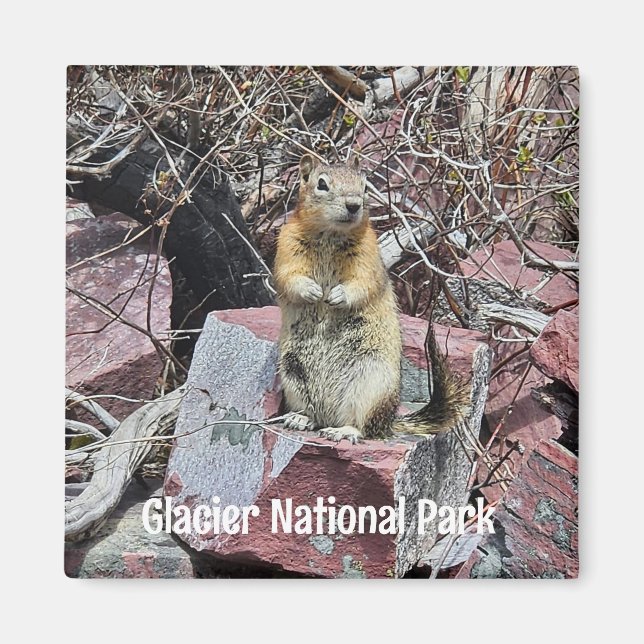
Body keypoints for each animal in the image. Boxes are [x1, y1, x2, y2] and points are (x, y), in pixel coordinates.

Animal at [273, 153, 469, 444]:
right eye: (322, 184)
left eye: (365, 186)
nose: (354, 205)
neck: (330, 234)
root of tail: (389, 423)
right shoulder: (286, 246)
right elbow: (289, 278)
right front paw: (313, 292)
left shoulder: (368, 254)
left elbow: (363, 283)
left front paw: (337, 295)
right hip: (292, 373)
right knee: (313, 413)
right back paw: (300, 418)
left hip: (371, 383)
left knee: (365, 428)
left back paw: (343, 431)